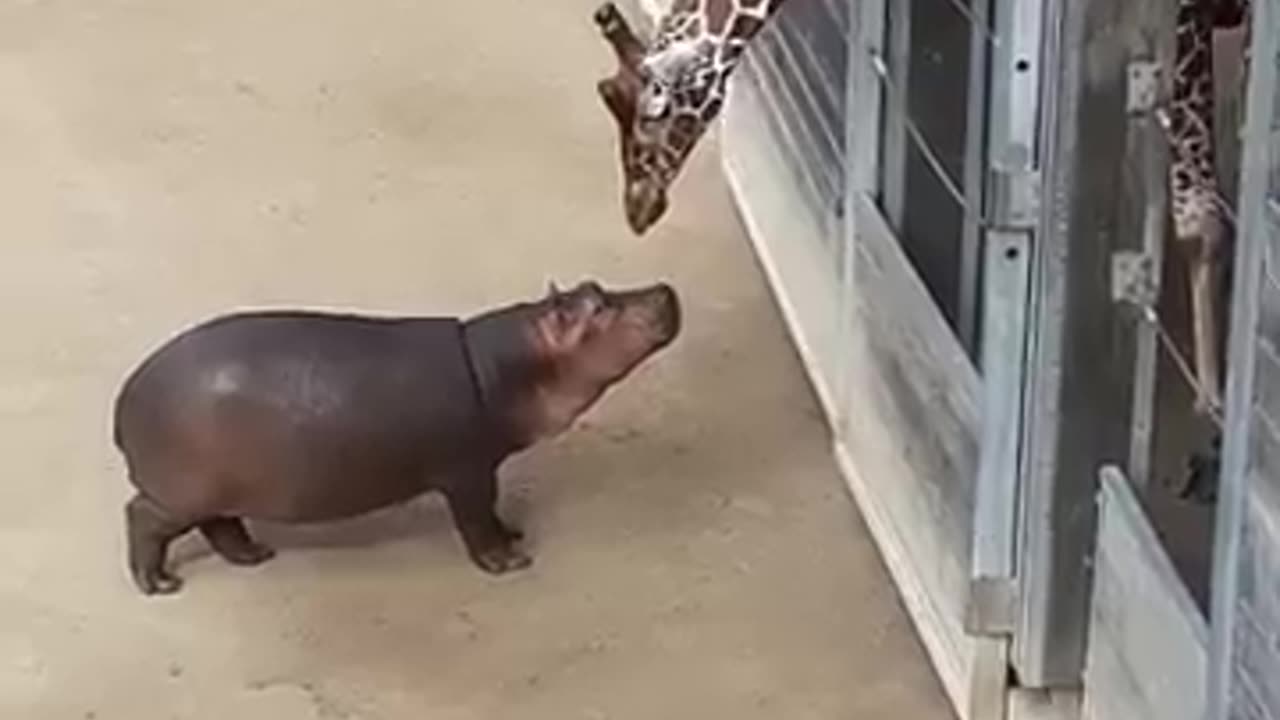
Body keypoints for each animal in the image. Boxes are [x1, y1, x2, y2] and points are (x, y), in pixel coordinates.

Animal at [115, 278, 686, 591]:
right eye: (598, 308)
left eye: (595, 287)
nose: (663, 287)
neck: (510, 363)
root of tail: (121, 405)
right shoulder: (467, 471)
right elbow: (477, 520)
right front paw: (510, 561)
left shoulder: (480, 467)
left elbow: (493, 513)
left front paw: (515, 534)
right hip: (180, 492)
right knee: (142, 516)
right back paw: (159, 584)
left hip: (213, 487)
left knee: (220, 523)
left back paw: (253, 556)